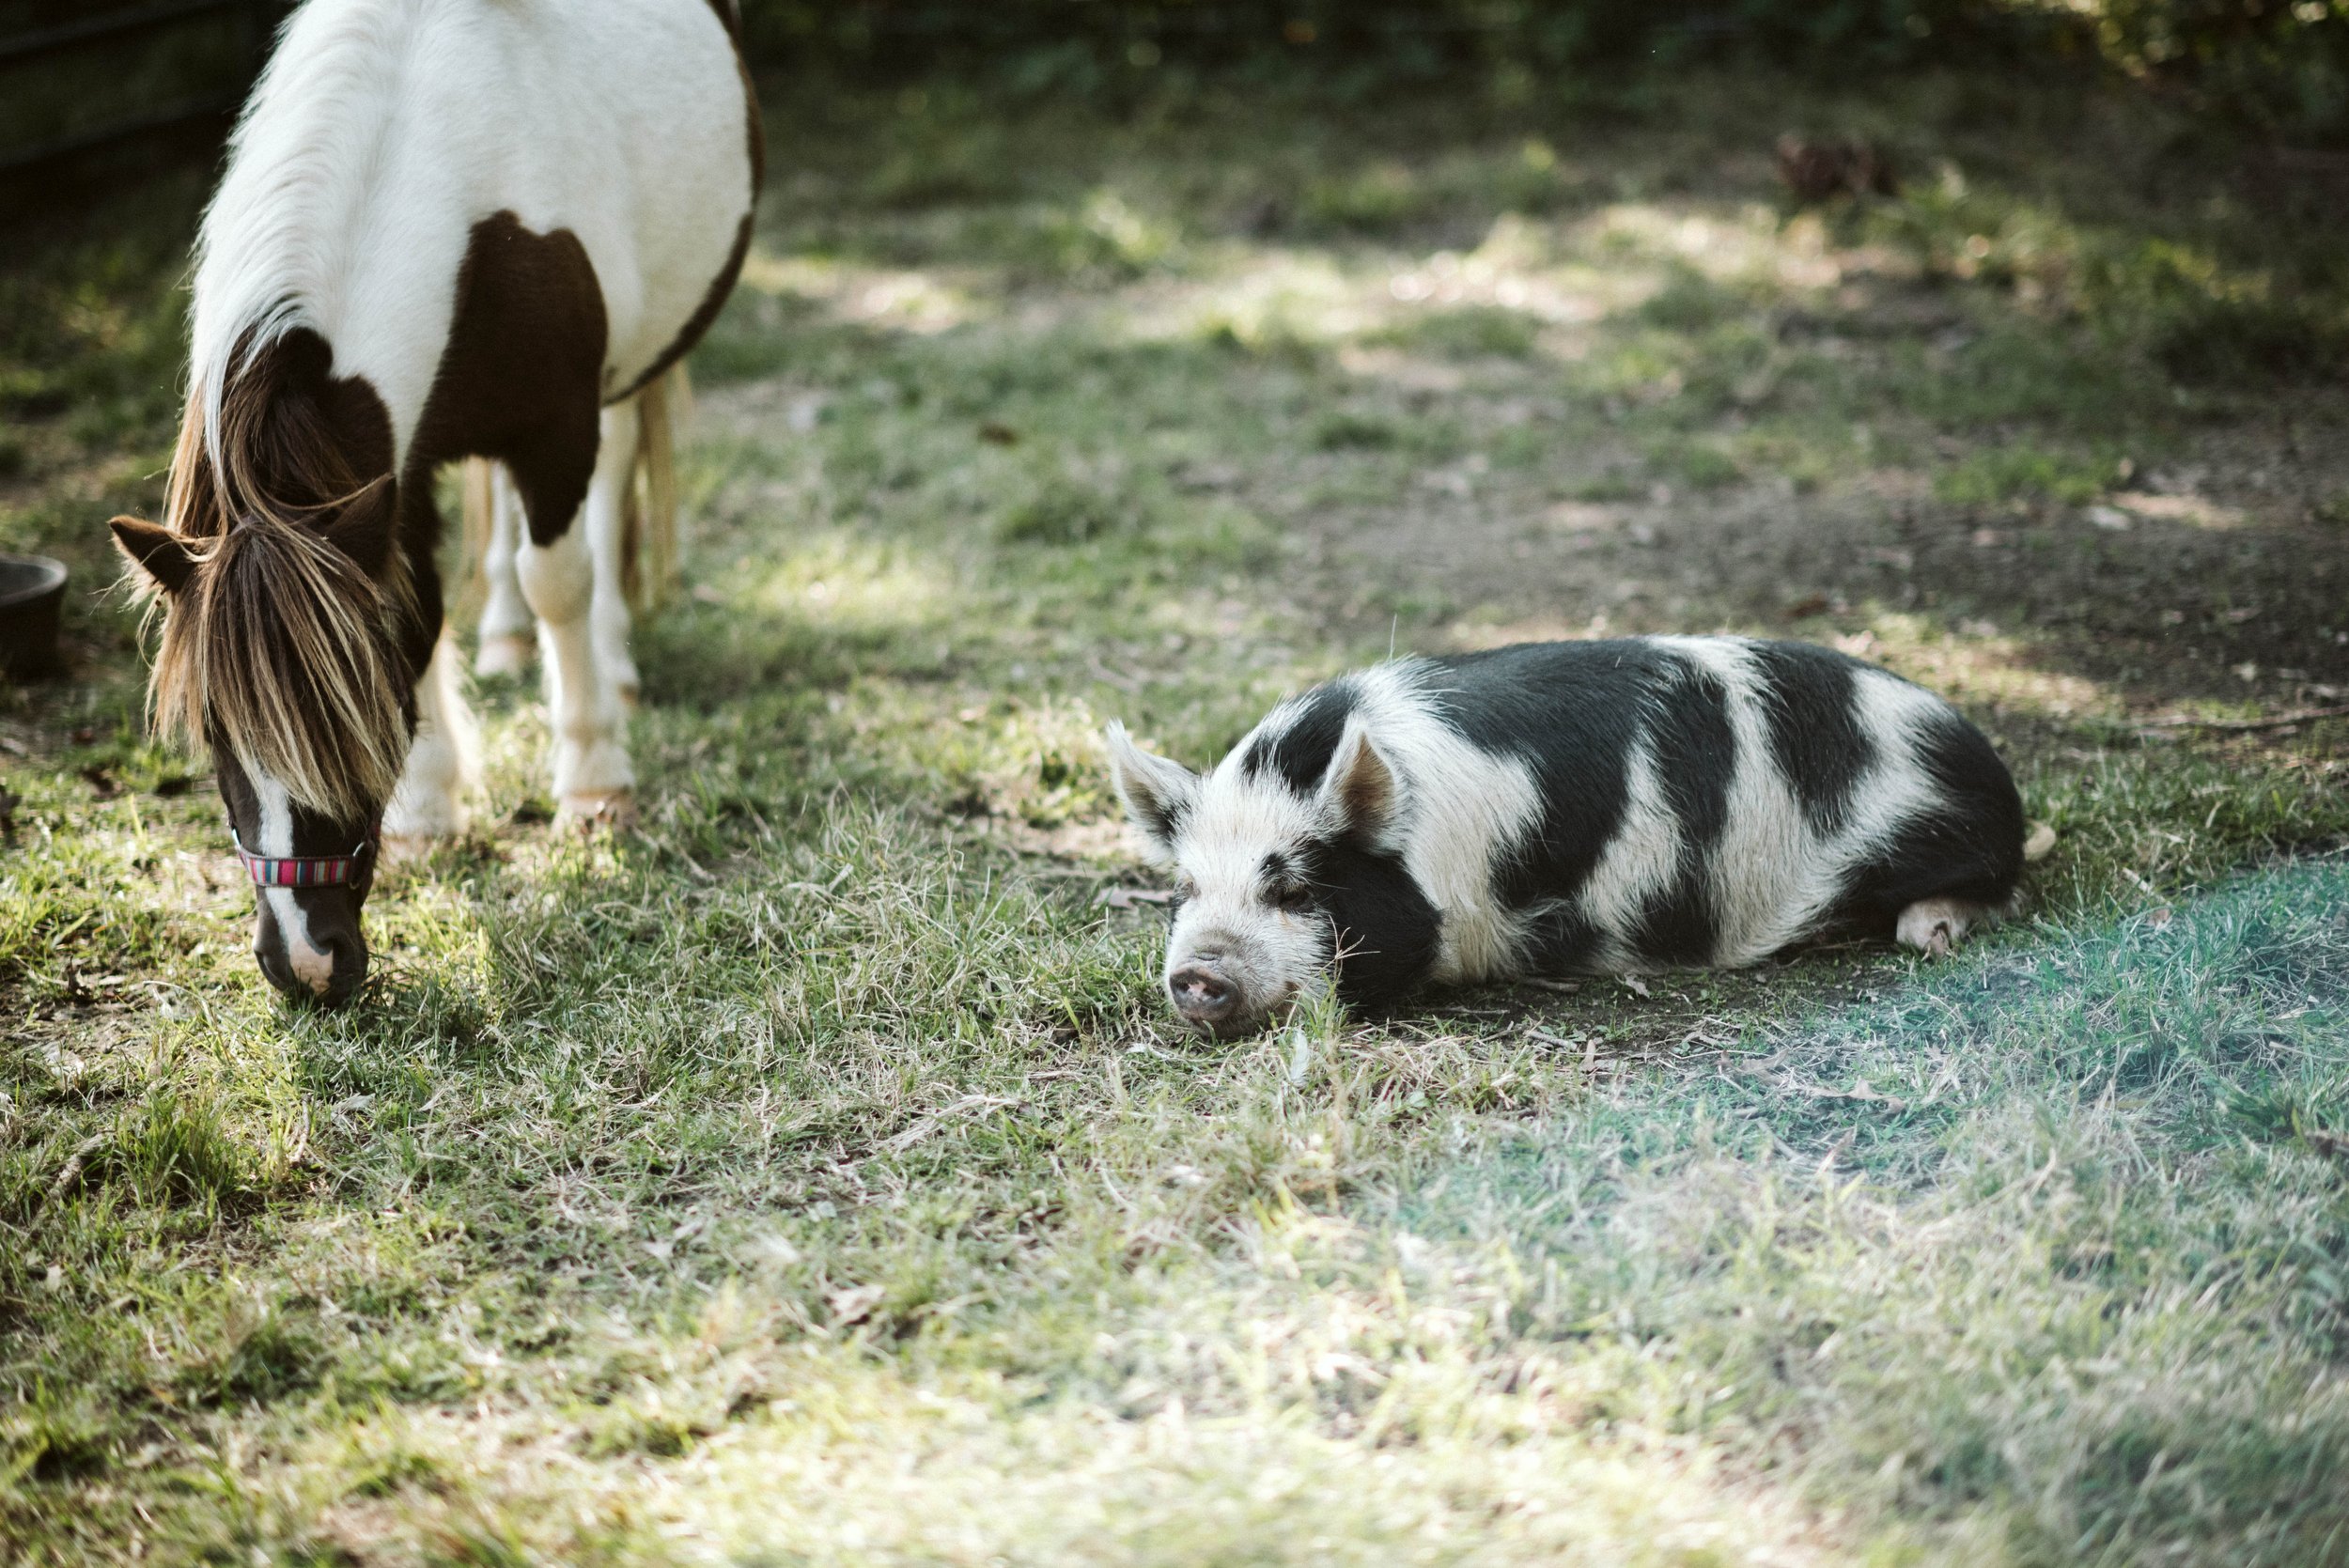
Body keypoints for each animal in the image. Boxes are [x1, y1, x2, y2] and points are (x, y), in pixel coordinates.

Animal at [106, 0, 761, 1006]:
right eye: (212, 729)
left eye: (343, 711)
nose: (306, 961)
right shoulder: (393, 473)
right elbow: (417, 605)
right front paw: (430, 808)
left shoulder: (555, 427)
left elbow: (559, 581)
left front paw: (593, 783)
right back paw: (503, 643)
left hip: (621, 376)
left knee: (605, 499)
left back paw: (608, 665)